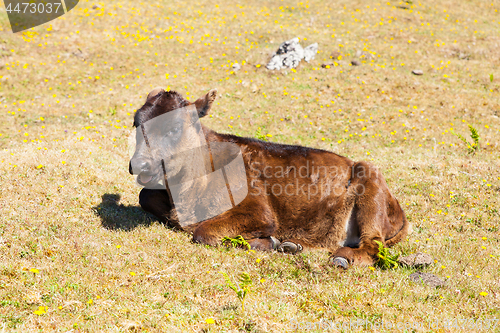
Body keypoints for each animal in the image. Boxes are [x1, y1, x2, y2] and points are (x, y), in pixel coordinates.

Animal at [129, 87, 410, 268]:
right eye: (136, 123)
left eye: (175, 128)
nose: (139, 164)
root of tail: (399, 211)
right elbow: (146, 196)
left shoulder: (258, 211)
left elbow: (203, 232)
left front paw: (269, 242)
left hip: (370, 186)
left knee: (373, 245)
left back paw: (342, 258)